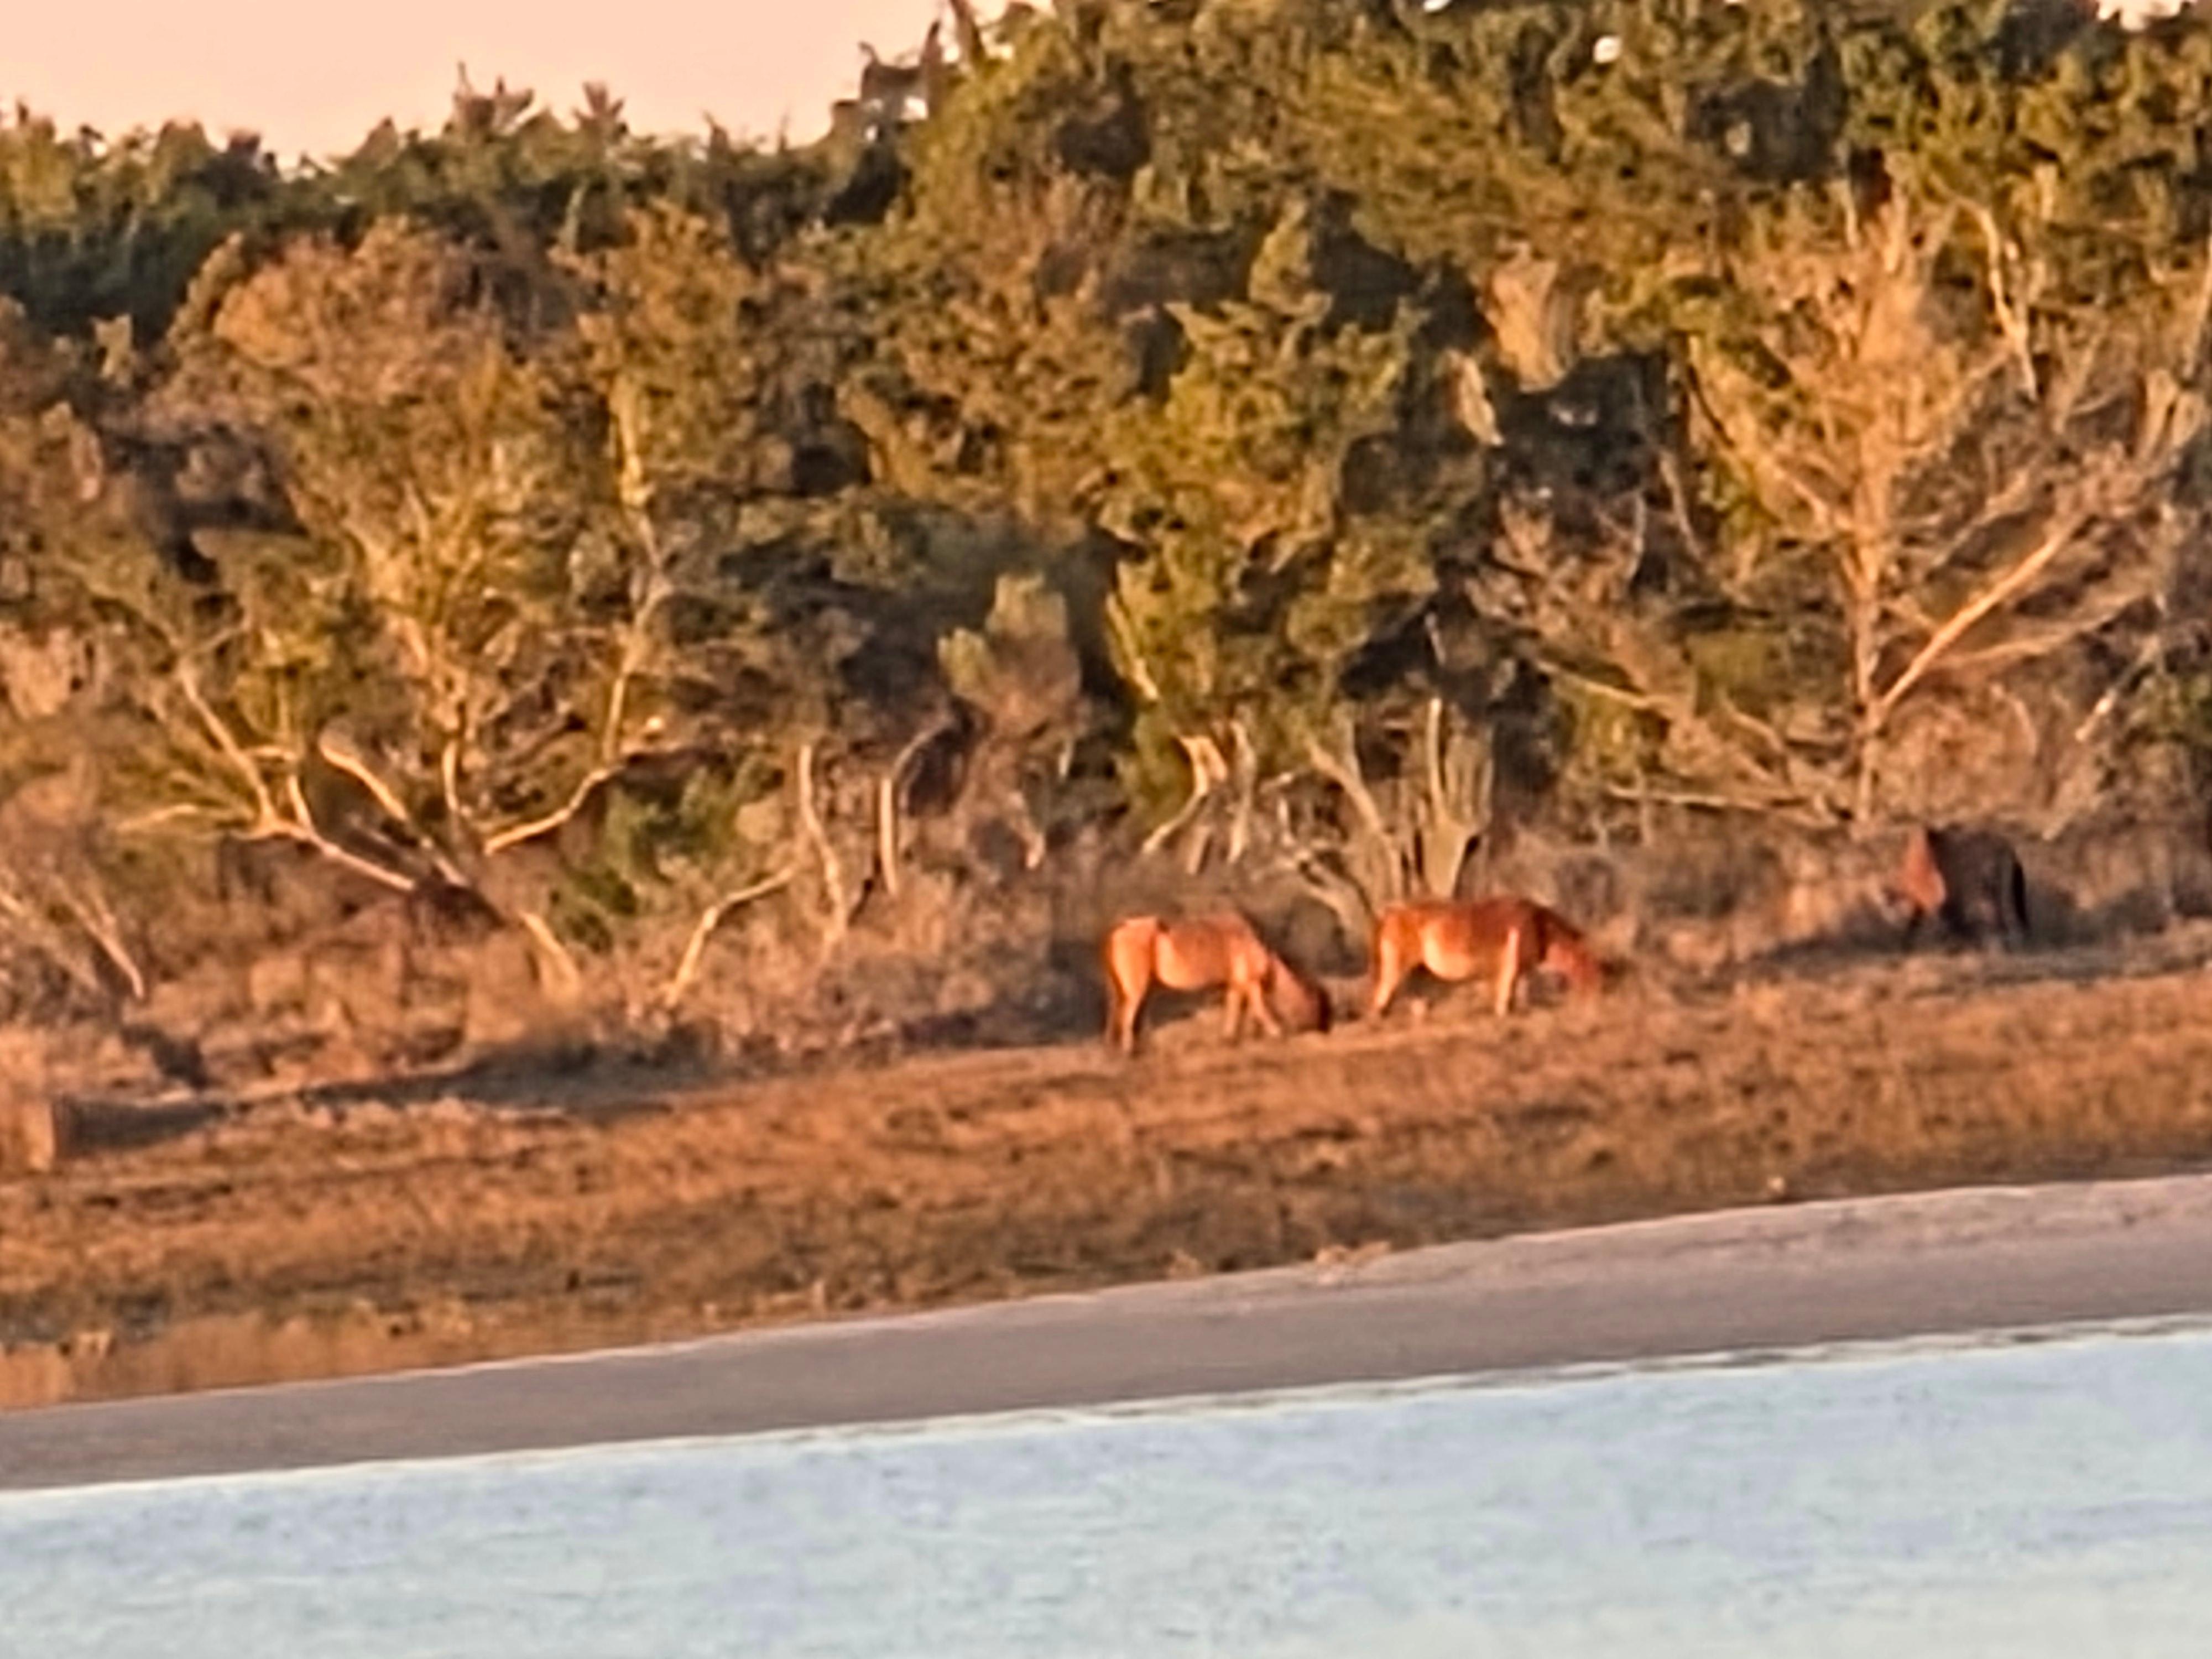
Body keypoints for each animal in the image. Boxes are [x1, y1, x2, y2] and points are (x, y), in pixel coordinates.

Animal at [1102, 912, 1331, 1056]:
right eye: (1319, 1002)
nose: (1325, 1028)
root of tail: (1120, 928)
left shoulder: (1236, 986)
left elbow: (1234, 1010)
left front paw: (1229, 1040)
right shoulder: (1251, 983)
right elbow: (1259, 1009)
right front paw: (1277, 1034)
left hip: (1140, 990)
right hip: (1137, 991)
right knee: (1128, 1016)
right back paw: (1130, 1052)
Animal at [1367, 895, 1606, 1021]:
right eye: (1592, 966)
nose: (1599, 993)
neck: (1545, 931)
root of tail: (1388, 913)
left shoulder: (1520, 971)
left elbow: (1519, 994)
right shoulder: (1510, 968)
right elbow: (1506, 997)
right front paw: (1504, 1017)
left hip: (1420, 971)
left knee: (1416, 1000)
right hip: (1397, 967)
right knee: (1381, 997)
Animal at [1888, 824, 2029, 951]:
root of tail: (2007, 848)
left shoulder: (1942, 898)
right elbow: (1916, 923)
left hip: (1987, 891)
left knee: (2002, 920)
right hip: (1994, 893)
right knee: (2009, 921)